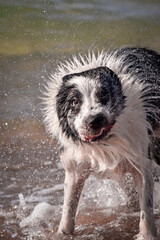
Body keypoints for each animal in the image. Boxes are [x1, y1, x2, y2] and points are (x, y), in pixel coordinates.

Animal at [43, 47, 159, 239]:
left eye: (103, 94)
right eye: (74, 101)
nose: (95, 120)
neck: (105, 141)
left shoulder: (141, 160)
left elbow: (146, 208)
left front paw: (147, 235)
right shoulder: (75, 167)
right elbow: (68, 210)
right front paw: (62, 234)